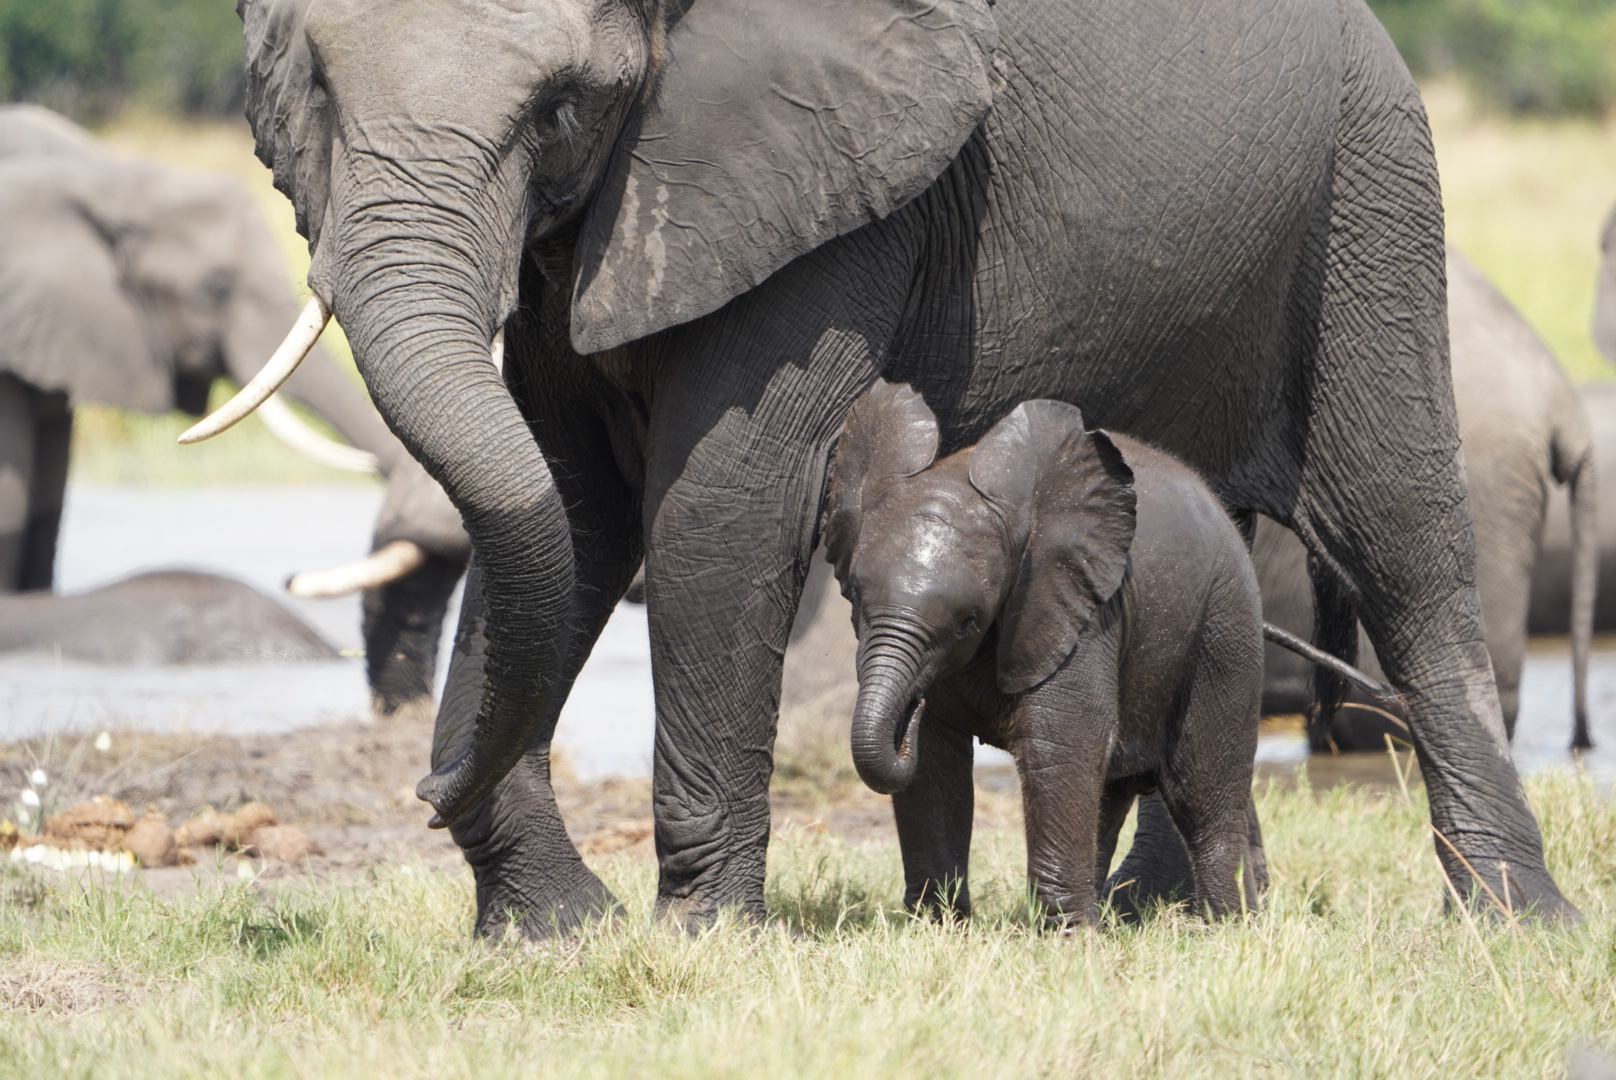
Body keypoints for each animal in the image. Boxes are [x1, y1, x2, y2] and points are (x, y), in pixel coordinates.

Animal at [824, 381, 1267, 925]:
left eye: (968, 621)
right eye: (856, 597)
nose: (912, 706)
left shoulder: (1077, 609)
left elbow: (1059, 743)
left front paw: (1070, 938)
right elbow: (934, 759)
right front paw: (936, 926)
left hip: (1225, 627)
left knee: (1203, 794)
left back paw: (1226, 927)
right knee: (1110, 794)